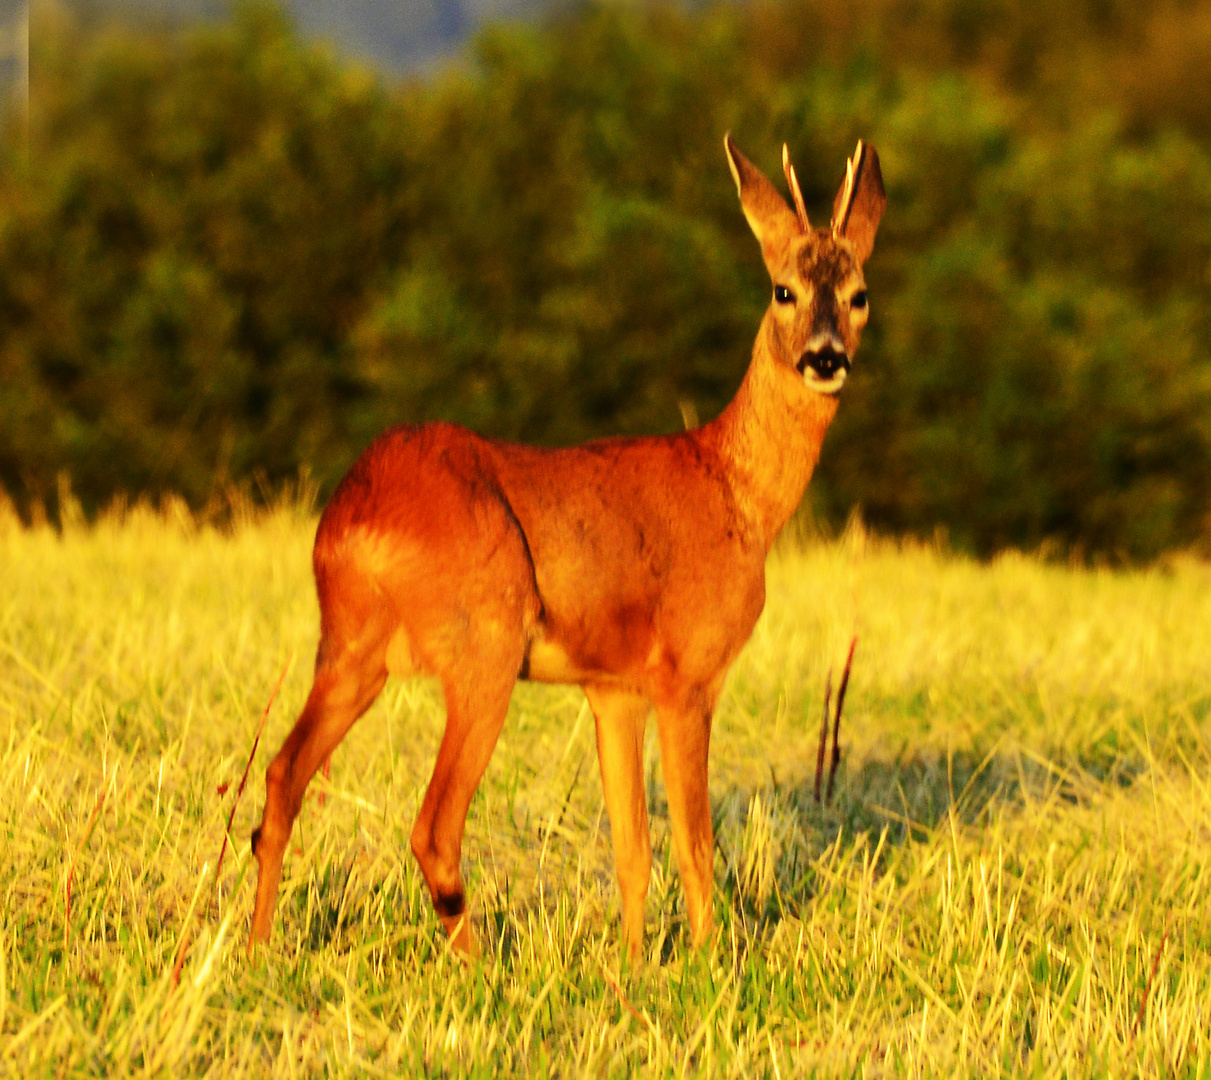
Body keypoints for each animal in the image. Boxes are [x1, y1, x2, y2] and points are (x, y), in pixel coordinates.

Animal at [248, 136, 891, 963]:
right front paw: (711, 963)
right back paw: (481, 968)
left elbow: (632, 849)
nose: (824, 357)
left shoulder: (610, 686)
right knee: (432, 828)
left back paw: (255, 950)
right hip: (484, 643)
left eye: (859, 293)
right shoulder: (685, 671)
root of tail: (351, 520)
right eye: (783, 289)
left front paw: (632, 967)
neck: (733, 493)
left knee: (280, 779)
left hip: (350, 647)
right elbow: (694, 843)